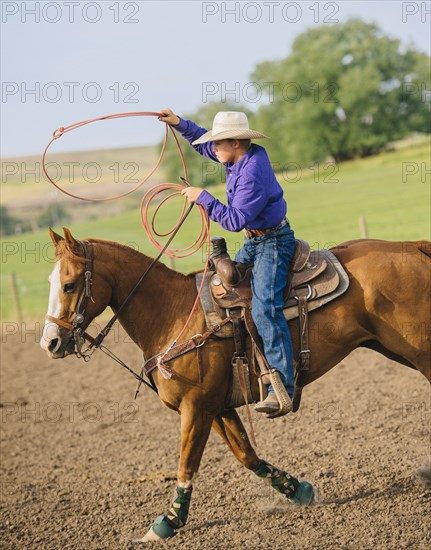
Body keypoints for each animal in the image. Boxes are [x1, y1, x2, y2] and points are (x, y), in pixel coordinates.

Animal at [40, 229, 431, 544]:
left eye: (70, 284)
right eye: (51, 282)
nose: (51, 343)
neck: (173, 315)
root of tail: (413, 246)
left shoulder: (195, 408)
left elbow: (186, 464)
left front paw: (167, 522)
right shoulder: (218, 407)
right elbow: (248, 456)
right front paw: (300, 491)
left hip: (419, 351)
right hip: (392, 348)